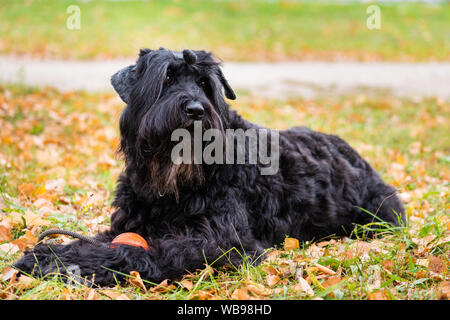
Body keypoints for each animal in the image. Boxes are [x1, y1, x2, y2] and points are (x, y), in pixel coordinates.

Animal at [13, 48, 404, 286]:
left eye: (205, 83)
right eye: (166, 78)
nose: (196, 110)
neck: (171, 187)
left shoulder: (221, 240)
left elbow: (141, 249)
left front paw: (60, 261)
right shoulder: (129, 223)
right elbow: (105, 239)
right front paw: (55, 252)